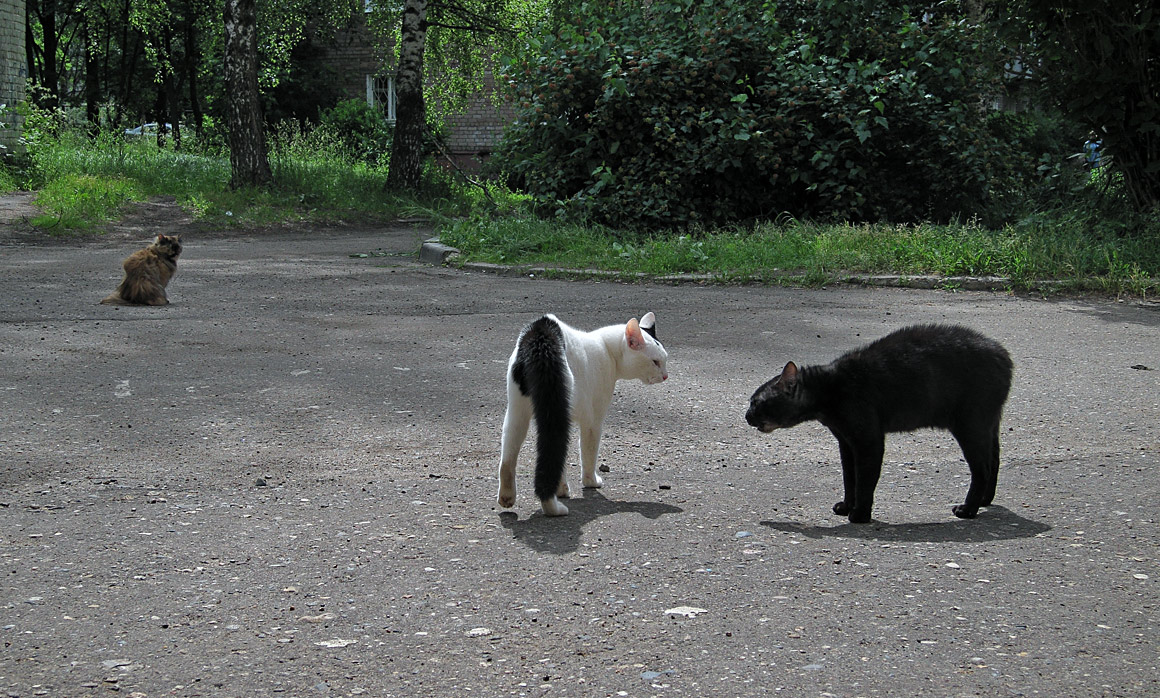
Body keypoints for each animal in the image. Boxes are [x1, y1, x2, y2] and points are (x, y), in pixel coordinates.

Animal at [494, 313, 668, 512]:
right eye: (655, 362)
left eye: (665, 360)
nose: (665, 376)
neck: (608, 349)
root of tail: (541, 333)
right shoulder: (593, 421)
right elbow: (589, 453)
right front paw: (590, 481)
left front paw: (563, 488)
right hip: (556, 409)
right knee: (552, 451)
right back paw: (553, 506)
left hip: (517, 411)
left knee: (508, 458)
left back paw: (508, 496)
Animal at [747, 324, 1011, 521]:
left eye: (756, 403)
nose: (746, 416)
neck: (830, 387)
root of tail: (1003, 354)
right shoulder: (846, 443)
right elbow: (850, 478)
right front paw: (847, 505)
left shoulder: (868, 441)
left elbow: (865, 480)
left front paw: (860, 514)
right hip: (988, 425)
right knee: (994, 462)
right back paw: (984, 500)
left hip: (970, 426)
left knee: (982, 468)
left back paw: (968, 509)